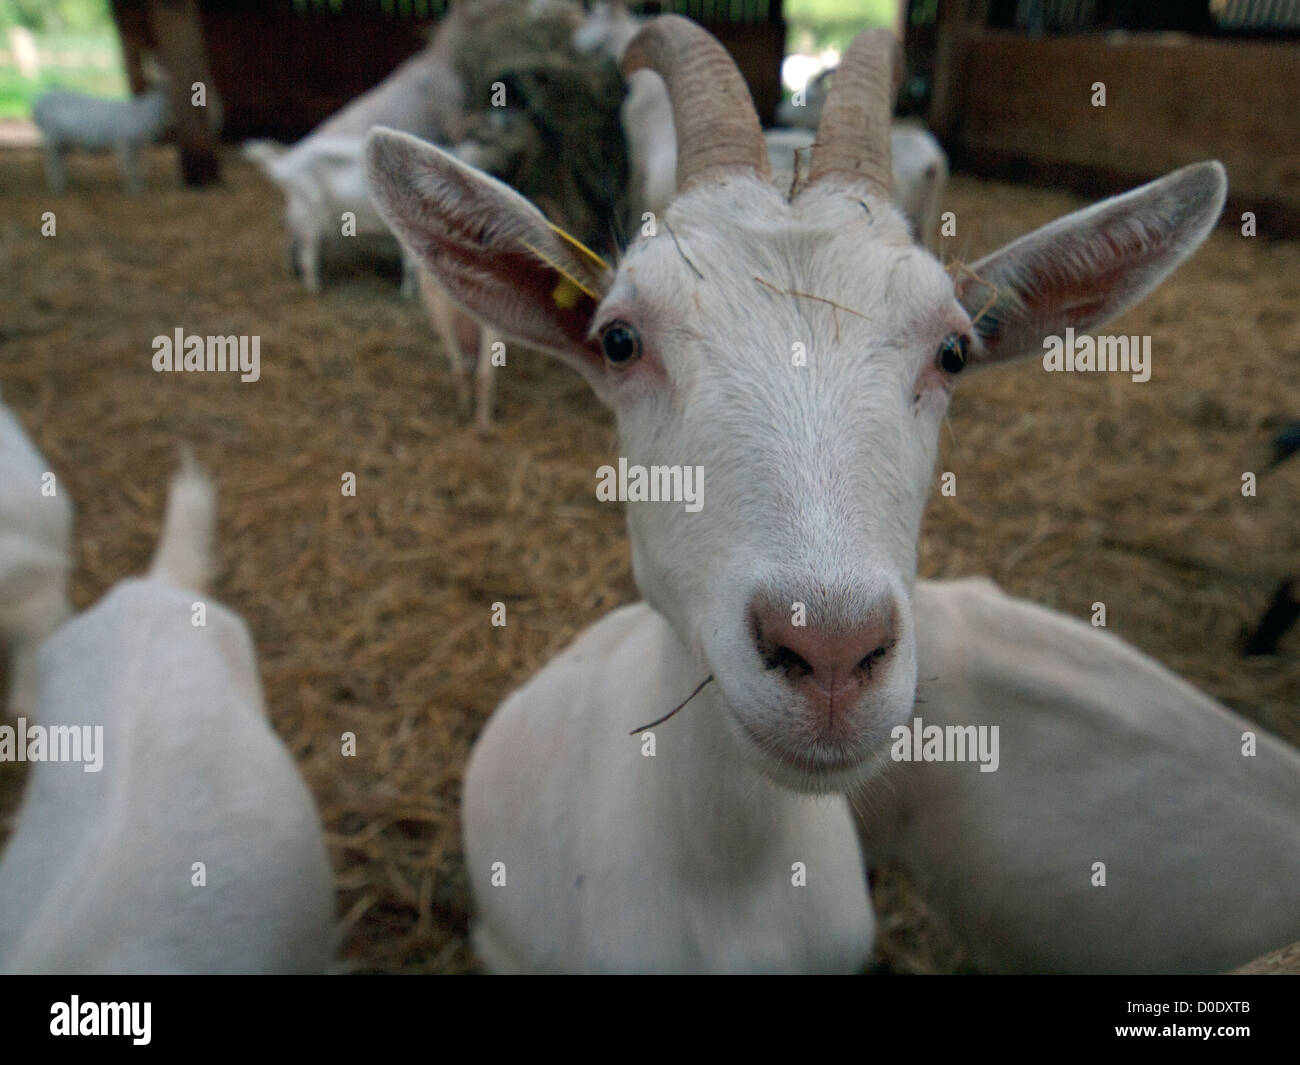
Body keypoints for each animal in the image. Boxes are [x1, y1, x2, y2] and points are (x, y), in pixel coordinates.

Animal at [32, 86, 171, 195]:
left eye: (165, 104)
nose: (164, 122)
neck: (142, 114)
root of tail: (39, 104)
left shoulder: (136, 146)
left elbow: (137, 166)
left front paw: (139, 186)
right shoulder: (124, 143)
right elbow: (128, 166)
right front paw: (132, 189)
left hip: (63, 141)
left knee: (59, 160)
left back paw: (62, 183)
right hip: (52, 138)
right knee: (51, 161)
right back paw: (55, 187)